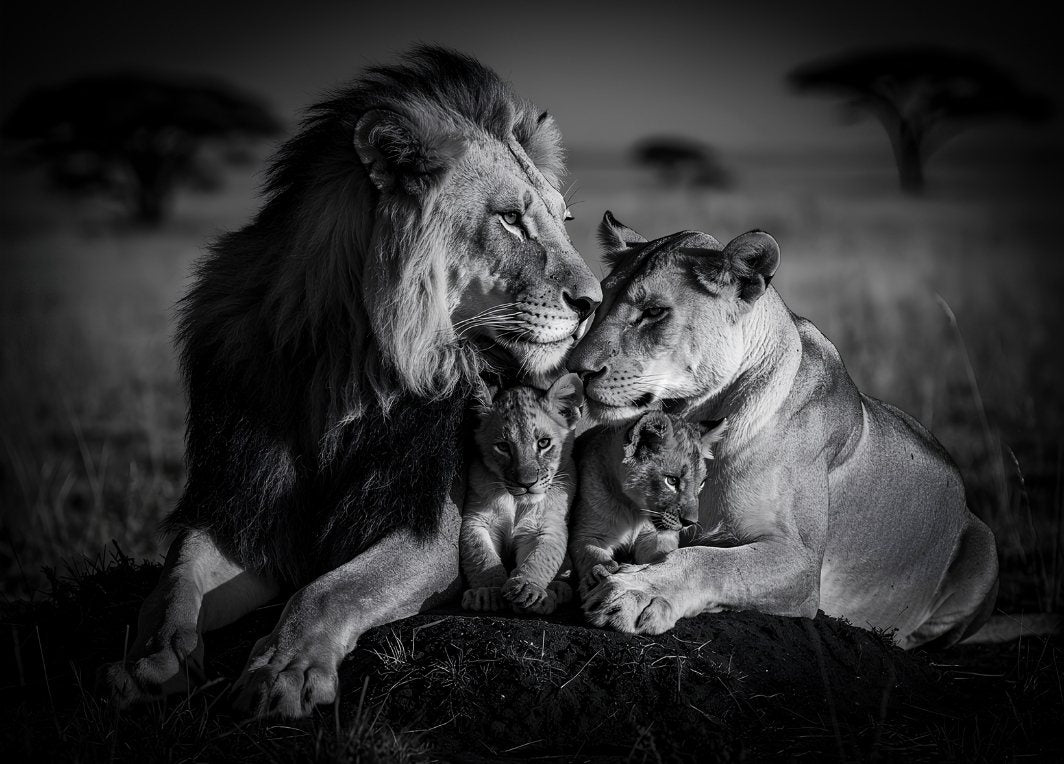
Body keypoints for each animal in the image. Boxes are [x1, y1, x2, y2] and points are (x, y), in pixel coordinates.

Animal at [460, 374, 582, 615]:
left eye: (543, 443)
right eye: (503, 446)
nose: (527, 483)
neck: (517, 502)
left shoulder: (546, 526)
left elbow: (541, 557)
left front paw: (528, 588)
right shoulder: (476, 520)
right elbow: (481, 557)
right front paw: (487, 592)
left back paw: (556, 590)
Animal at [567, 211, 998, 648]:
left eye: (654, 312)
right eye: (601, 303)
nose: (576, 368)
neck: (696, 409)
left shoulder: (802, 563)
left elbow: (710, 561)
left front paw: (635, 592)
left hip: (986, 546)